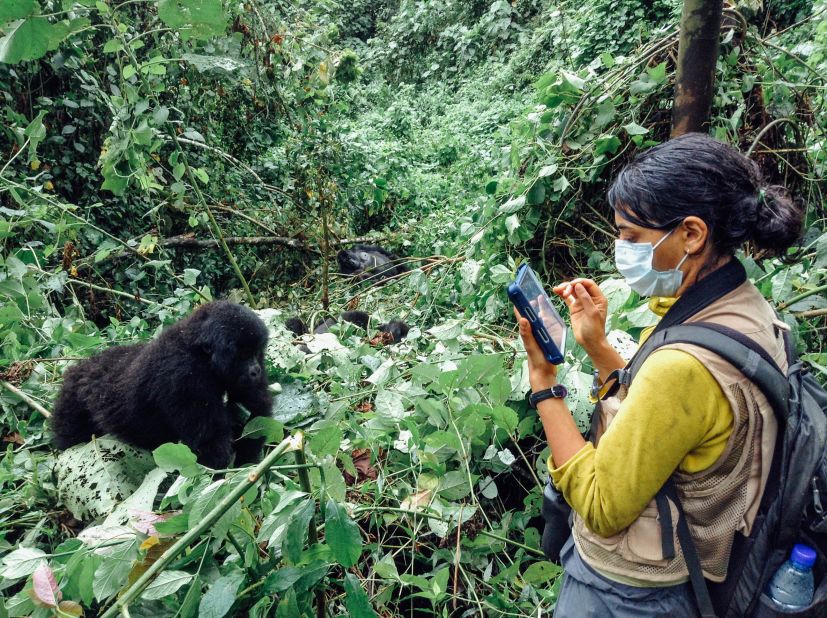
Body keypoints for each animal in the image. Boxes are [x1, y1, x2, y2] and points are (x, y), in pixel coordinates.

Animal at [50, 300, 274, 466]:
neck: (199, 351)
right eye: (242, 355)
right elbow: (211, 444)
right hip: (71, 402)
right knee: (70, 437)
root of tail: (78, 368)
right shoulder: (184, 376)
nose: (255, 371)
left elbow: (258, 413)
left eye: (255, 352)